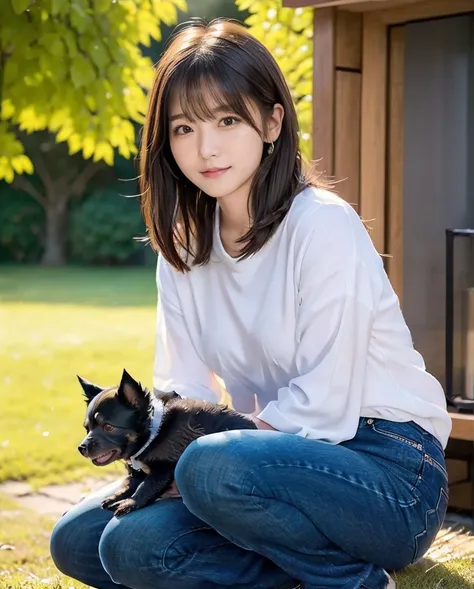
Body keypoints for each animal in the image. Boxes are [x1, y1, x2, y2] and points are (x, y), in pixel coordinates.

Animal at [77, 370, 258, 516]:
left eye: (108, 427)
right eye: (87, 428)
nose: (81, 448)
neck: (155, 433)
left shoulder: (165, 467)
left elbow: (146, 486)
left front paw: (130, 503)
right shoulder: (139, 471)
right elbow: (129, 483)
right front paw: (116, 497)